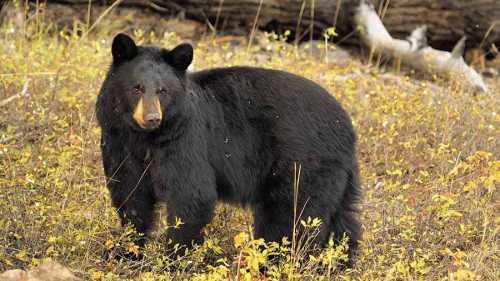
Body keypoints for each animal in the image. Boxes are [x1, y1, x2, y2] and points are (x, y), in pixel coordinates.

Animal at [96, 34, 360, 262]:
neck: (145, 138)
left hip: (303, 164)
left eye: (163, 90)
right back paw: (340, 262)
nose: (152, 118)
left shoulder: (185, 140)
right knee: (344, 218)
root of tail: (346, 125)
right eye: (136, 88)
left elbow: (191, 194)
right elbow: (130, 193)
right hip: (337, 175)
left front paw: (173, 258)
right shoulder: (118, 141)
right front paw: (126, 252)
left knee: (294, 216)